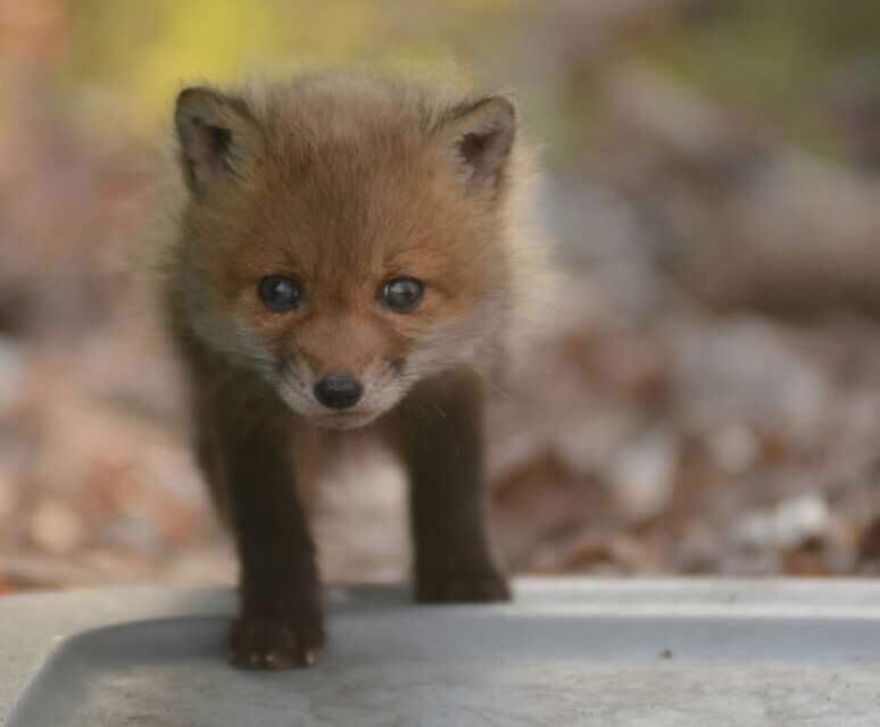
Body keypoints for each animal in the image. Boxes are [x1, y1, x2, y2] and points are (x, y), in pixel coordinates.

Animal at [164, 71, 548, 668]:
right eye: (279, 291)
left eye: (403, 292)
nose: (339, 390)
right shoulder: (244, 407)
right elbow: (273, 526)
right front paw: (278, 620)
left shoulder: (454, 385)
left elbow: (453, 491)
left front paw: (461, 578)